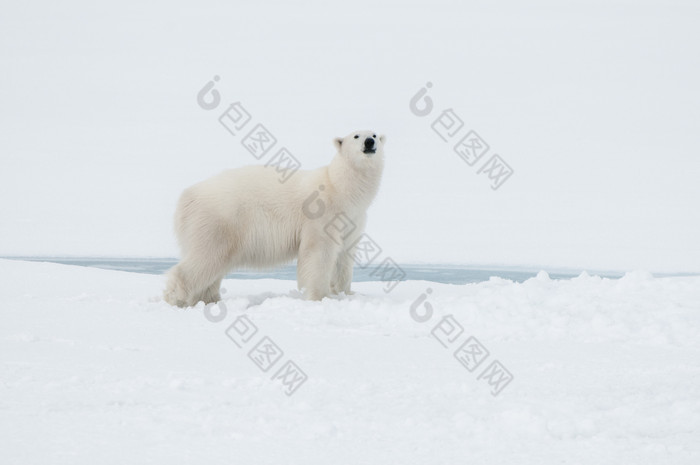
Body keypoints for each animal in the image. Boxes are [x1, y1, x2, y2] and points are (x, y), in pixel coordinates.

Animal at [163, 129, 386, 306]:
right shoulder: (322, 216)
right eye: (356, 135)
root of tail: (188, 196)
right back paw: (176, 298)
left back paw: (209, 299)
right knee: (205, 258)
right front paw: (319, 297)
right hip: (219, 220)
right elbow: (318, 254)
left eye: (374, 134)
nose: (369, 142)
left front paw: (345, 293)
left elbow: (344, 257)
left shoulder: (353, 218)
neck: (340, 188)